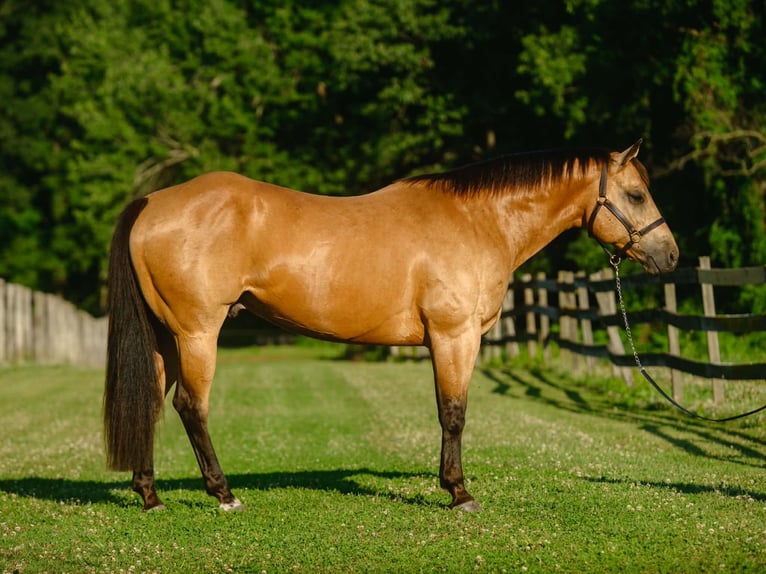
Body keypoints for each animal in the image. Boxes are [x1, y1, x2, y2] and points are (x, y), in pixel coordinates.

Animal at [104, 140, 678, 512]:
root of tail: (152, 202)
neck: (477, 221)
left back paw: (150, 496)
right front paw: (459, 492)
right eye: (635, 195)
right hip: (197, 333)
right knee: (190, 407)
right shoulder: (454, 336)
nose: (670, 255)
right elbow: (453, 414)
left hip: (165, 338)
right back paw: (223, 494)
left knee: (151, 403)